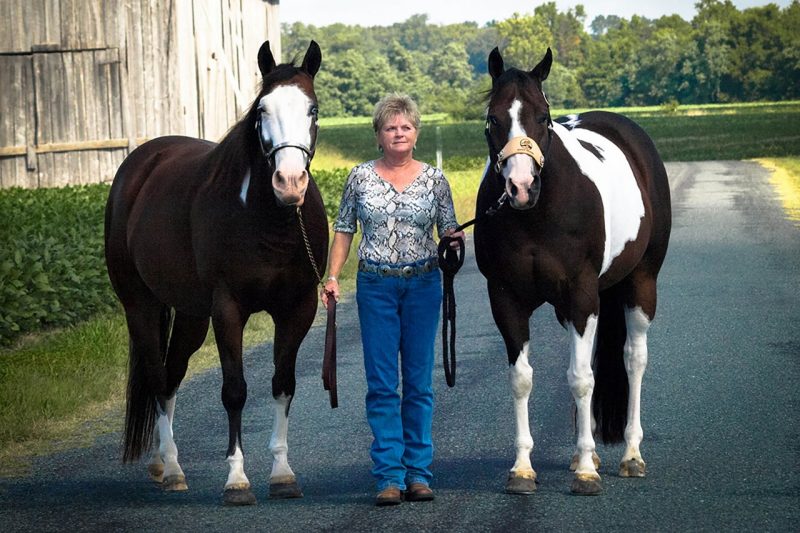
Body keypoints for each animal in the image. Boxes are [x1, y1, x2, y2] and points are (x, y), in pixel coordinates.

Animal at [104, 39, 326, 504]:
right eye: (262, 110)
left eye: (312, 109)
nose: (289, 183)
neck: (269, 221)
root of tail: (142, 162)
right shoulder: (228, 310)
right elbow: (235, 390)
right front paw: (237, 481)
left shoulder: (298, 309)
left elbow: (283, 383)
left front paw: (282, 474)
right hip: (141, 306)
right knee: (157, 377)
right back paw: (172, 468)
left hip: (191, 315)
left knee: (171, 377)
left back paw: (161, 462)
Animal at [476, 46, 668, 494]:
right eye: (493, 118)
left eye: (543, 117)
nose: (521, 187)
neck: (536, 215)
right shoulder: (506, 299)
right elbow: (522, 378)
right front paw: (522, 469)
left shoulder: (583, 295)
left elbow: (581, 377)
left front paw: (584, 472)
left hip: (641, 283)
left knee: (634, 359)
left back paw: (631, 455)